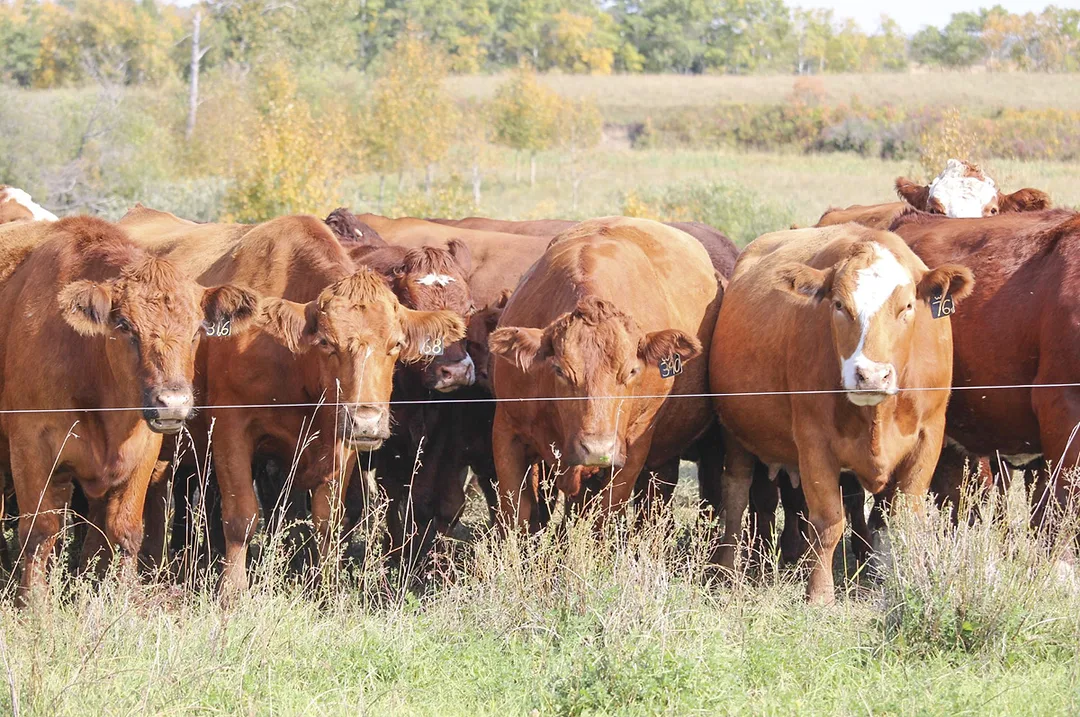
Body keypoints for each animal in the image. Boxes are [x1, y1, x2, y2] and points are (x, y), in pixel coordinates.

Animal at [0, 216, 259, 604]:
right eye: (124, 326)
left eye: (198, 329)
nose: (173, 403)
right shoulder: (31, 447)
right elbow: (39, 531)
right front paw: (35, 604)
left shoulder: (143, 449)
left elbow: (125, 529)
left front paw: (123, 593)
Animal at [117, 207, 465, 592]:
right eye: (327, 342)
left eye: (396, 345)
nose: (367, 421)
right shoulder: (230, 429)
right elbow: (241, 516)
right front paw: (232, 590)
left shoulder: (339, 440)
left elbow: (329, 518)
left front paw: (329, 588)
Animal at [488, 217, 722, 529]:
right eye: (560, 369)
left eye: (632, 370)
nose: (597, 448)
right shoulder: (507, 431)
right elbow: (515, 514)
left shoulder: (632, 450)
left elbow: (605, 518)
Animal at [710, 223, 973, 603]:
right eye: (838, 305)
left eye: (907, 306)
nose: (872, 375)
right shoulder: (814, 443)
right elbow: (828, 521)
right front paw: (820, 594)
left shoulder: (929, 437)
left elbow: (905, 519)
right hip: (736, 435)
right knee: (736, 497)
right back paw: (725, 569)